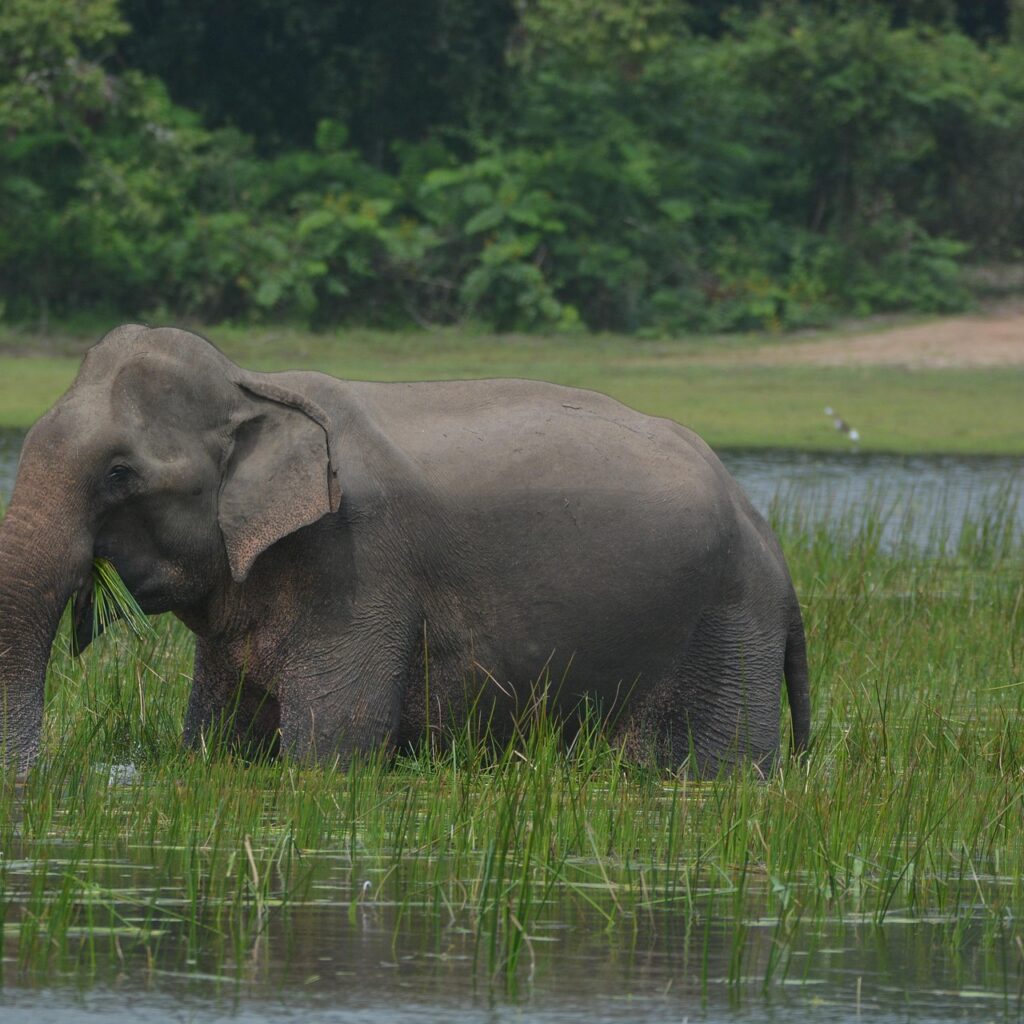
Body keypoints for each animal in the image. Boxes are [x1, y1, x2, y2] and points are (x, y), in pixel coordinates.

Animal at [0, 324, 810, 774]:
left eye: (119, 473)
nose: (38, 777)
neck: (257, 386)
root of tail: (771, 542)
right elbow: (218, 740)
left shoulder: (356, 568)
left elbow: (333, 749)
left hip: (727, 636)